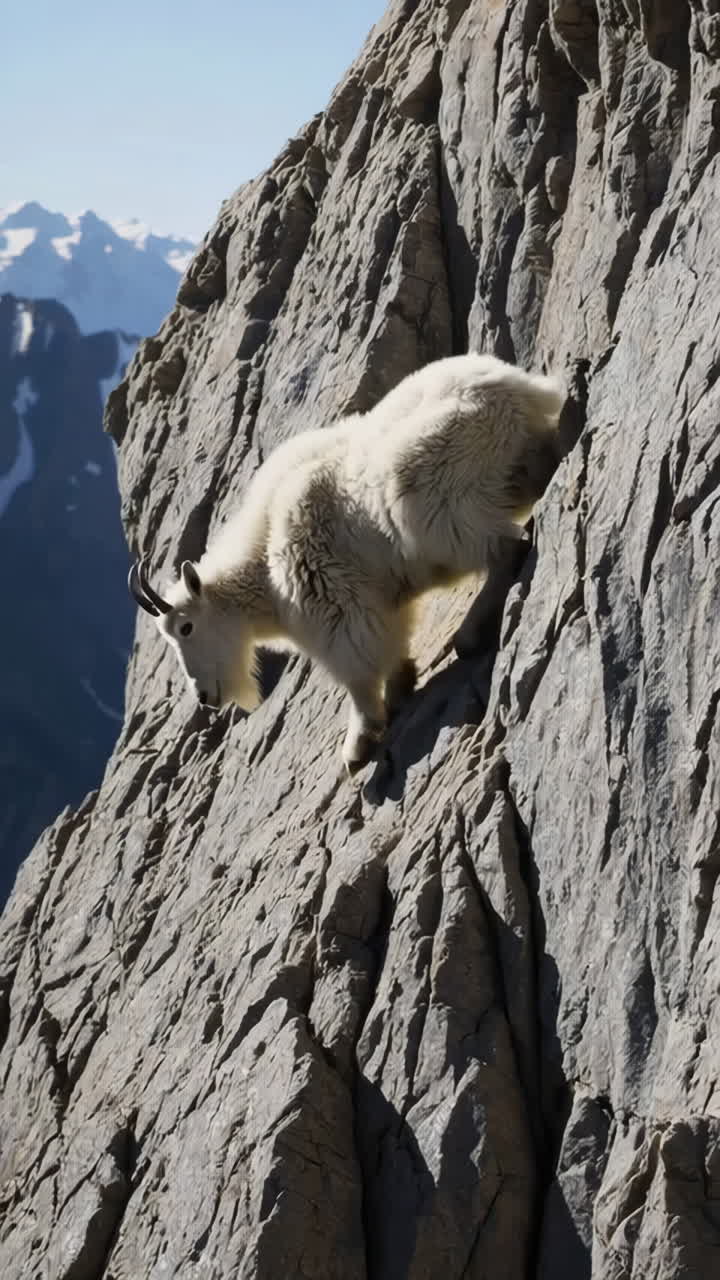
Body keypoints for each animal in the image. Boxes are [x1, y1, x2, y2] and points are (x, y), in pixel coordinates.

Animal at [129, 353, 564, 772]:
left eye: (185, 627)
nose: (205, 696)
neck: (262, 564)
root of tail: (521, 389)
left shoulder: (334, 601)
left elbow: (357, 668)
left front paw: (357, 743)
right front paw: (400, 688)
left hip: (429, 494)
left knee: (506, 548)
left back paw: (470, 635)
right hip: (516, 468)